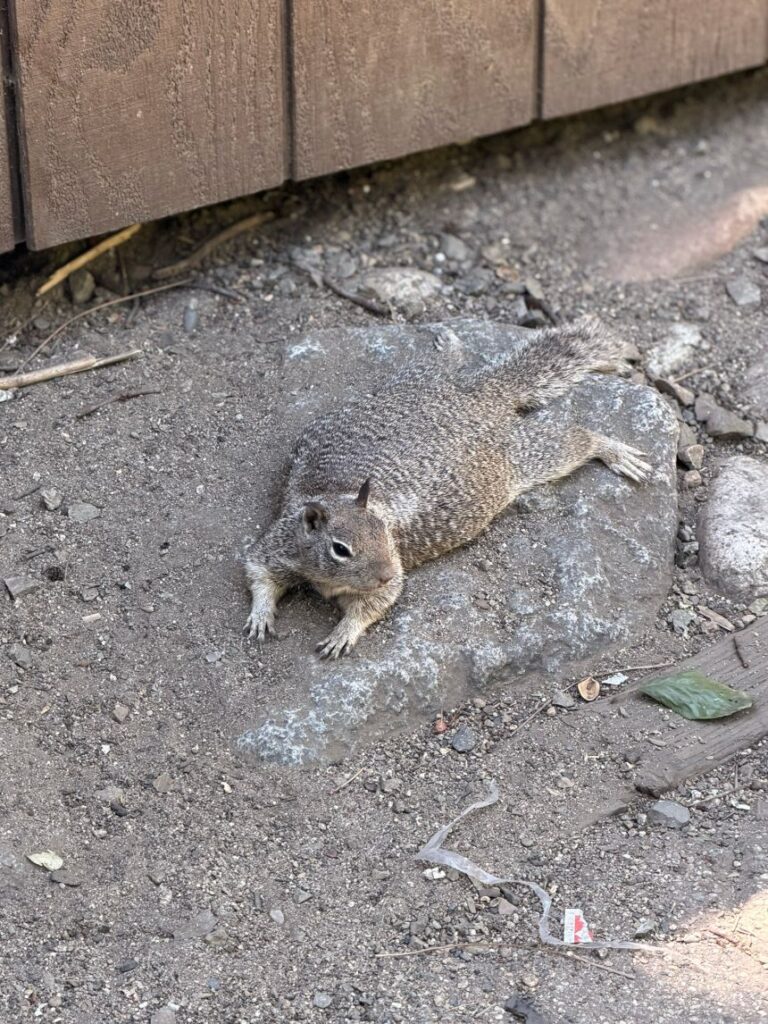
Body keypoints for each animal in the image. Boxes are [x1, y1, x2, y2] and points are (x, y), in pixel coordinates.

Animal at [244, 315, 651, 659]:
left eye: (383, 533)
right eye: (340, 549)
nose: (385, 572)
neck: (336, 497)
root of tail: (481, 396)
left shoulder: (386, 572)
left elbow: (377, 602)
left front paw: (344, 632)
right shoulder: (280, 543)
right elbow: (258, 569)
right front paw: (261, 613)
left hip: (520, 455)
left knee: (577, 439)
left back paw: (611, 450)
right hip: (414, 381)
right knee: (438, 365)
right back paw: (448, 344)